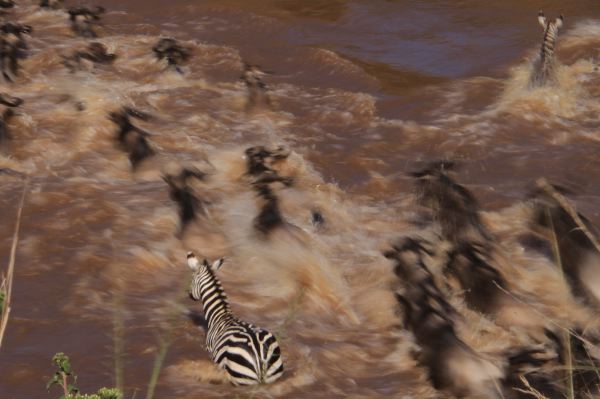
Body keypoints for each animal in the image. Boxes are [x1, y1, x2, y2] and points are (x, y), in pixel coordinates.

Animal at [185, 253, 284, 388]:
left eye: (192, 278)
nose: (189, 294)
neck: (220, 314)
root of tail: (259, 356)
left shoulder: (209, 349)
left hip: (239, 376)